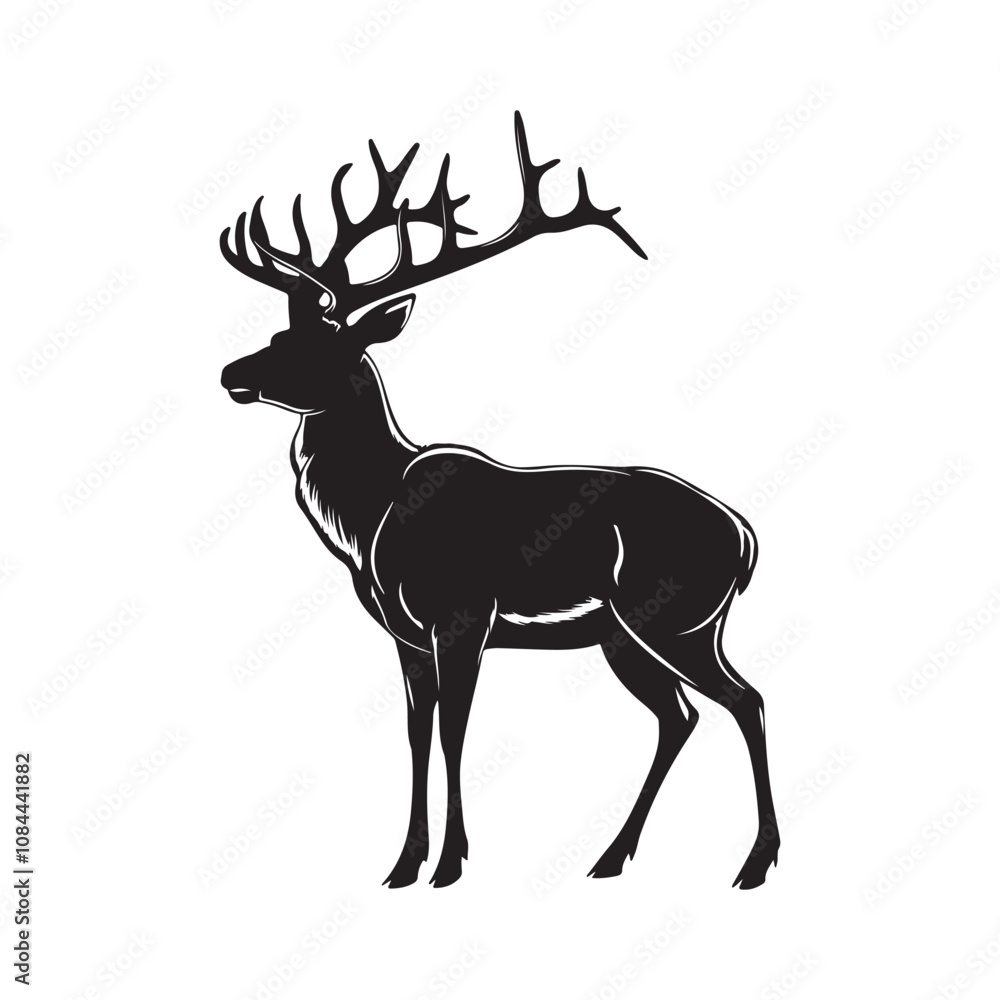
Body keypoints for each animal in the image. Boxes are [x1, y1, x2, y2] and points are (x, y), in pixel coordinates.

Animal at [219, 112, 779, 889]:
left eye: (317, 345)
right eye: (277, 332)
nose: (230, 374)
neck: (373, 519)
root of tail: (747, 538)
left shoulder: (462, 614)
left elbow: (456, 731)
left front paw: (450, 864)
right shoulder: (405, 634)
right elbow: (417, 733)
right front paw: (403, 864)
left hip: (675, 617)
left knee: (744, 700)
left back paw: (754, 864)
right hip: (625, 634)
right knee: (681, 717)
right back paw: (610, 859)